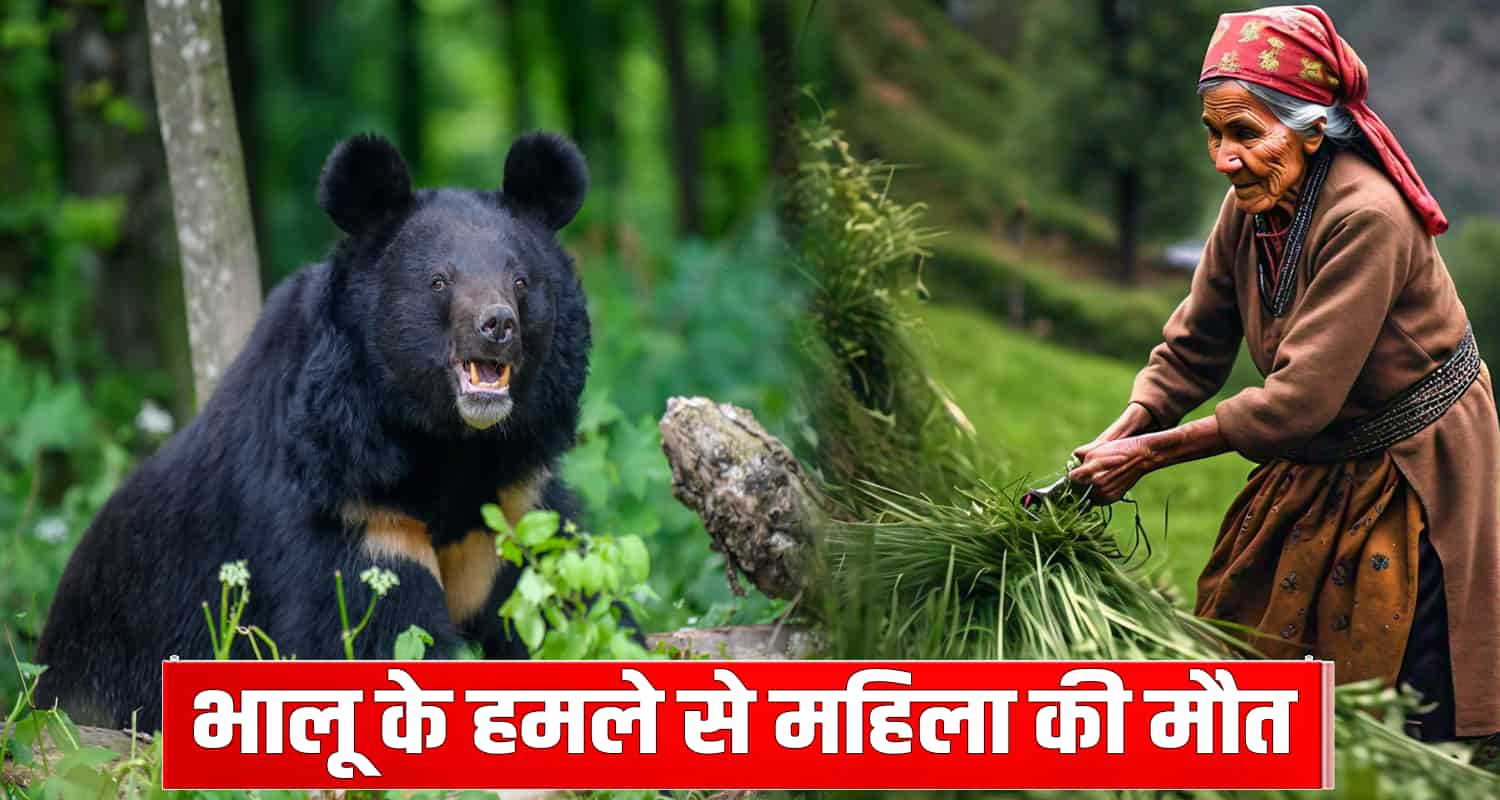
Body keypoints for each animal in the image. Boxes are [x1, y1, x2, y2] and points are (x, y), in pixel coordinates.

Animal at [33, 131, 603, 732]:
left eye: (521, 281)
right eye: (438, 281)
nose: (497, 325)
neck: (448, 446)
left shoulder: (513, 508)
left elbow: (567, 602)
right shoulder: (351, 510)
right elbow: (373, 635)